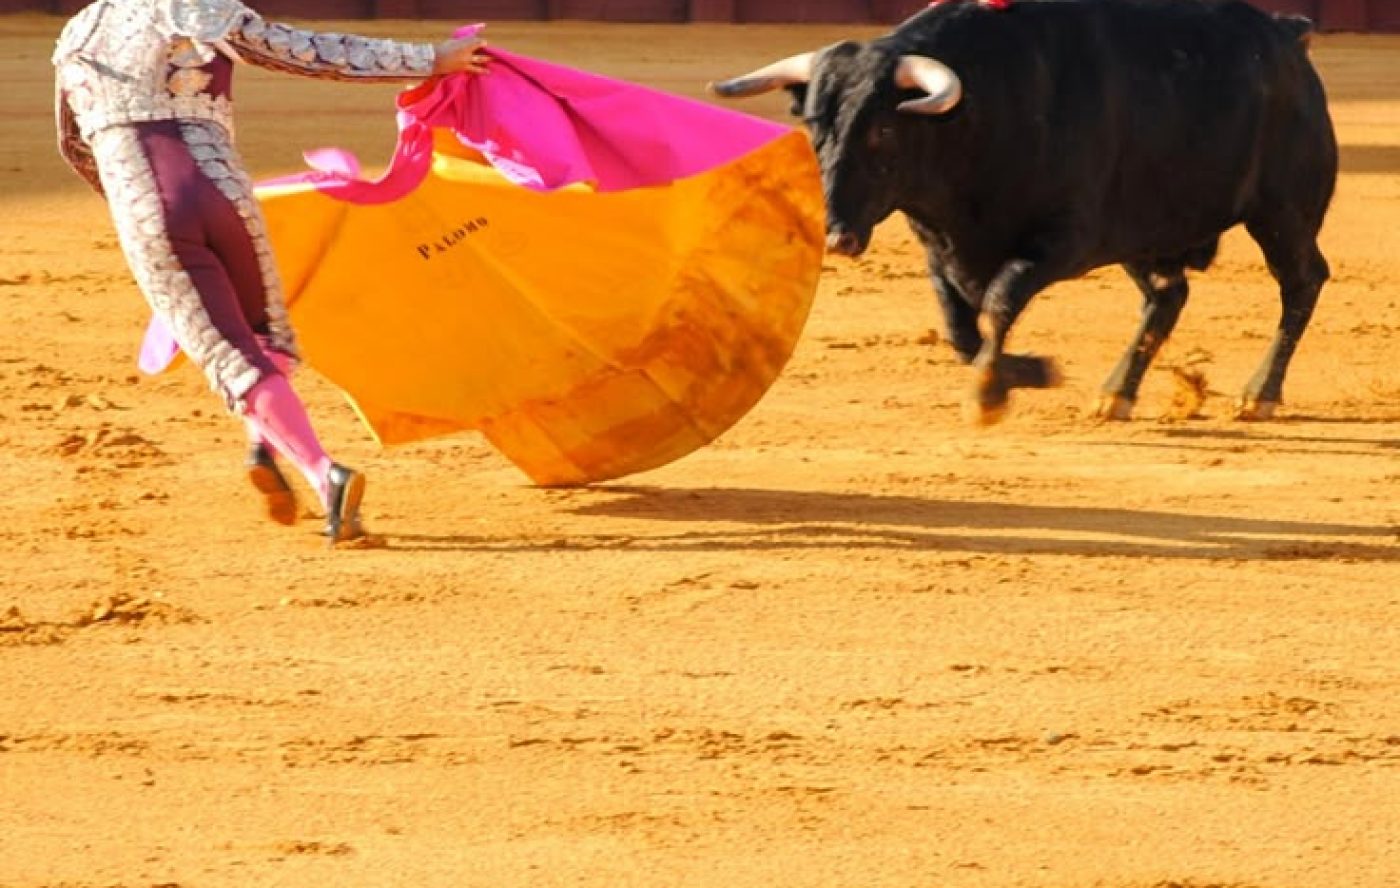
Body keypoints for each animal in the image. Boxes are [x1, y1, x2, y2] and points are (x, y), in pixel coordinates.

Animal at [709, 0, 1337, 425]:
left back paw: (1259, 395)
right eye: (812, 123)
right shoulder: (938, 244)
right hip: (1144, 230)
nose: (835, 234)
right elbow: (960, 325)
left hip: (1282, 212)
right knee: (1167, 295)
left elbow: (999, 299)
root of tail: (1287, 33)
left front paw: (991, 394)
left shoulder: (1063, 239)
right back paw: (1115, 394)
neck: (980, 111)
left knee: (1302, 280)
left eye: (883, 129)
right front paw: (1023, 372)